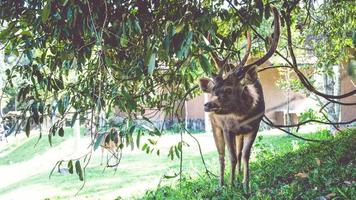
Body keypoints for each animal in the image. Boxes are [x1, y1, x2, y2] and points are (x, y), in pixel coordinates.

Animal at [199, 6, 280, 191]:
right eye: (214, 90)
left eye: (228, 89)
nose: (207, 105)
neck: (242, 116)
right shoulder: (227, 128)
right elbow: (232, 157)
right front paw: (230, 186)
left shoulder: (254, 126)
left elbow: (245, 155)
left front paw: (246, 186)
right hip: (215, 126)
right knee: (221, 155)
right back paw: (221, 184)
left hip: (238, 133)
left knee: (237, 151)